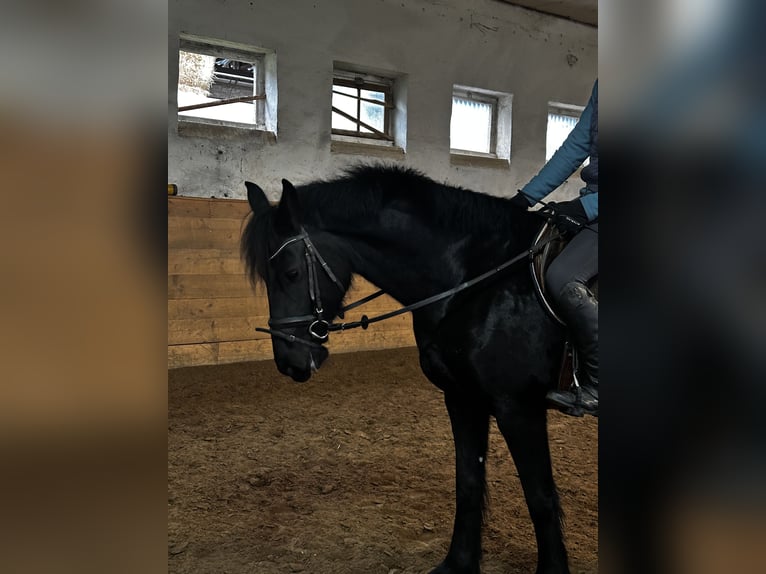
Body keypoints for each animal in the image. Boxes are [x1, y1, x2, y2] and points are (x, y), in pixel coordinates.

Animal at [241, 165, 571, 574]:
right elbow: (468, 483)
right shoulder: (463, 398)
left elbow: (540, 496)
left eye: (290, 273)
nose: (290, 362)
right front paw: (458, 563)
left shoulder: (519, 407)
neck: (473, 283)